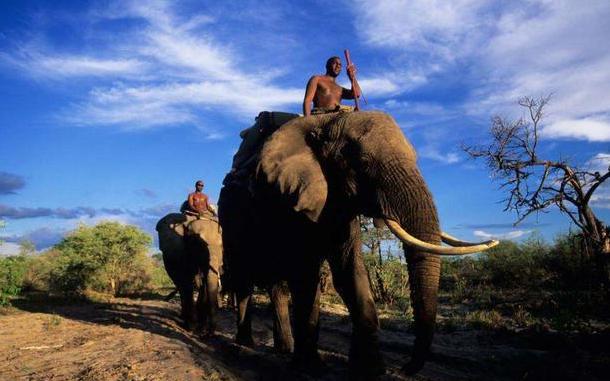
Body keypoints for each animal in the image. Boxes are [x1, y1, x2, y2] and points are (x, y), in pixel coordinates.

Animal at [216, 110, 496, 378]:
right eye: (363, 164)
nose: (403, 369)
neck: (326, 122)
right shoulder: (290, 199)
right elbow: (305, 276)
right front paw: (311, 369)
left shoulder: (337, 202)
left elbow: (350, 272)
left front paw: (371, 370)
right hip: (230, 222)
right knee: (243, 281)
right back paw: (245, 345)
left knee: (276, 288)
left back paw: (283, 349)